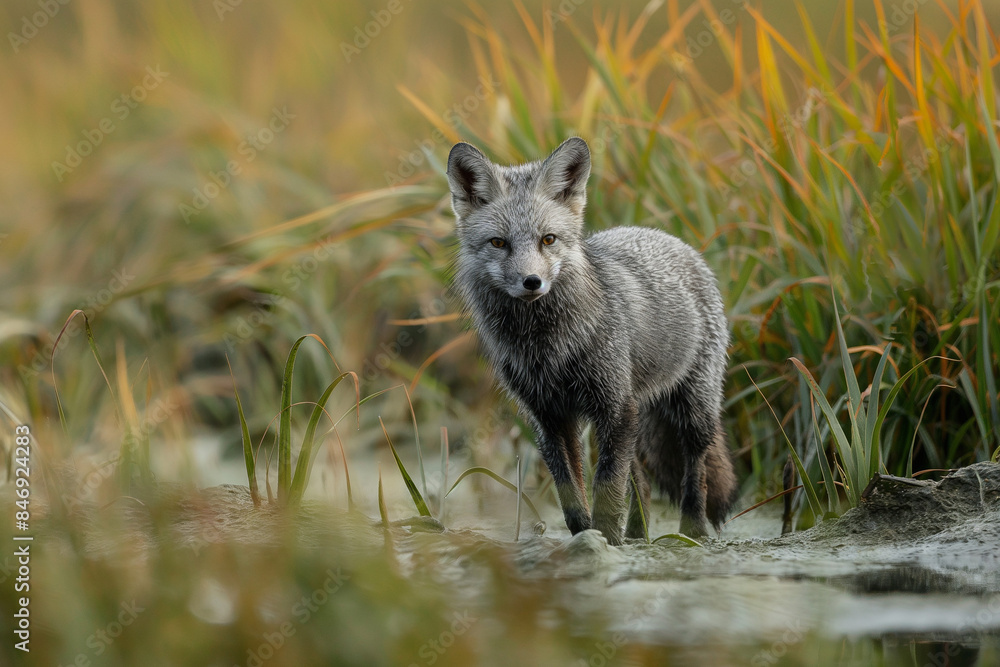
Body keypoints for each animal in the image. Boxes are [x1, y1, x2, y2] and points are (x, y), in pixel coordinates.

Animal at [446, 137, 738, 545]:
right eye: (499, 243)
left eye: (548, 239)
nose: (532, 282)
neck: (546, 350)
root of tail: (664, 235)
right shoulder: (549, 417)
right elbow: (571, 491)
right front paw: (586, 538)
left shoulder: (613, 405)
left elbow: (607, 487)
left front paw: (606, 542)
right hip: (633, 419)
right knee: (641, 484)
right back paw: (638, 536)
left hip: (690, 410)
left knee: (695, 473)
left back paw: (690, 532)